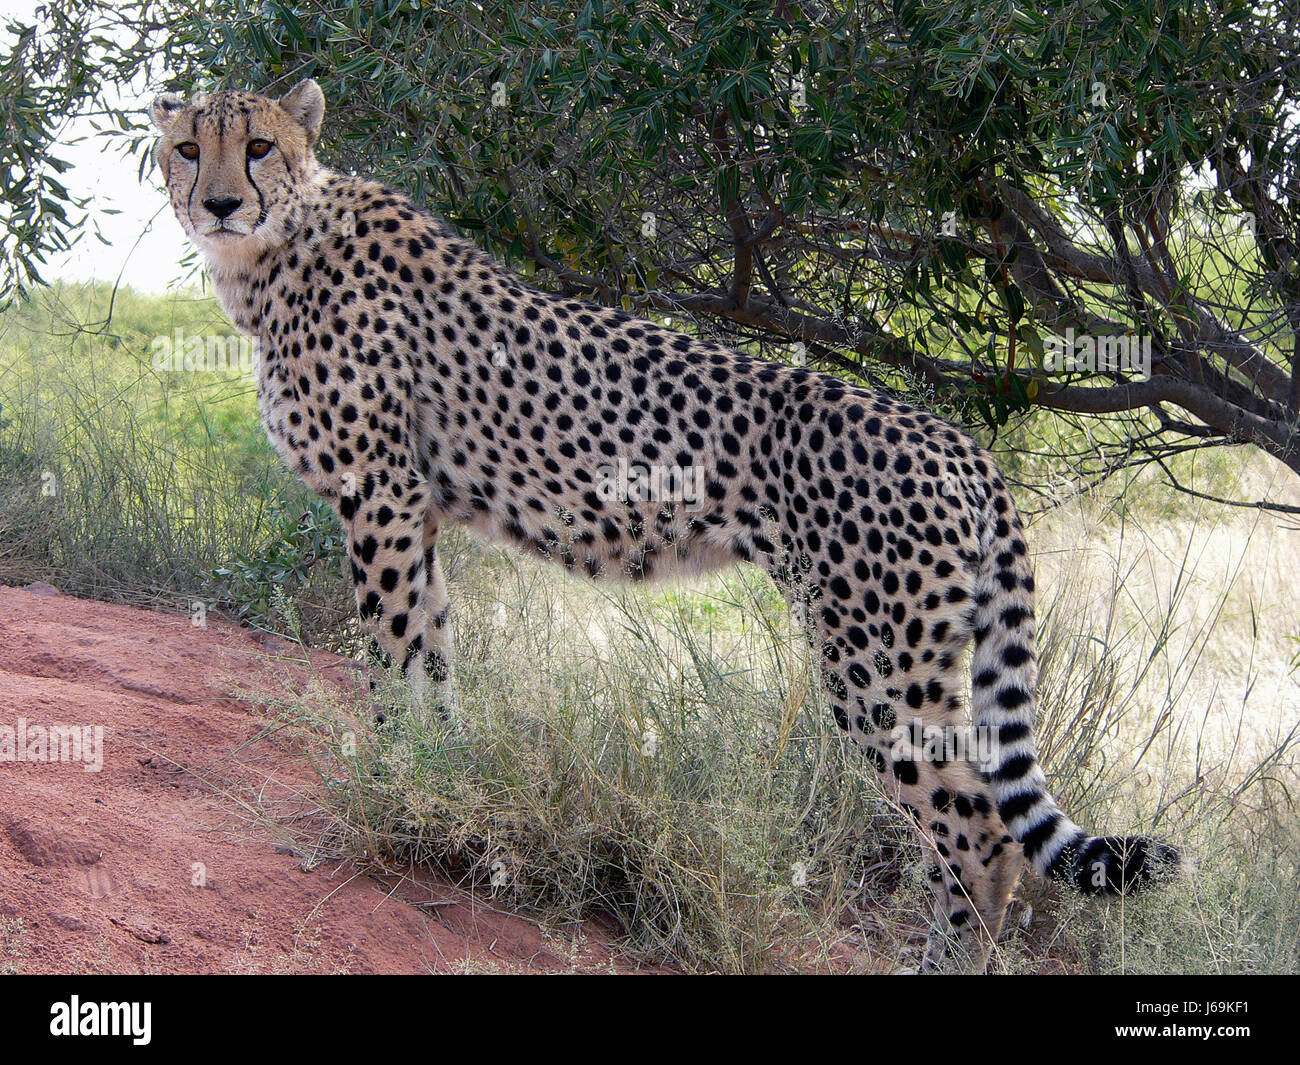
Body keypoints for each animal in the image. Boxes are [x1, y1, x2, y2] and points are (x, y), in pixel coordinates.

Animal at [151, 78, 1179, 971]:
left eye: (258, 146)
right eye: (188, 149)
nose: (220, 203)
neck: (277, 249)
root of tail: (959, 440)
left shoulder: (380, 495)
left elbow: (390, 656)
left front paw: (391, 787)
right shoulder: (419, 509)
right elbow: (432, 659)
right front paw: (439, 783)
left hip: (877, 663)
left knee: (980, 831)